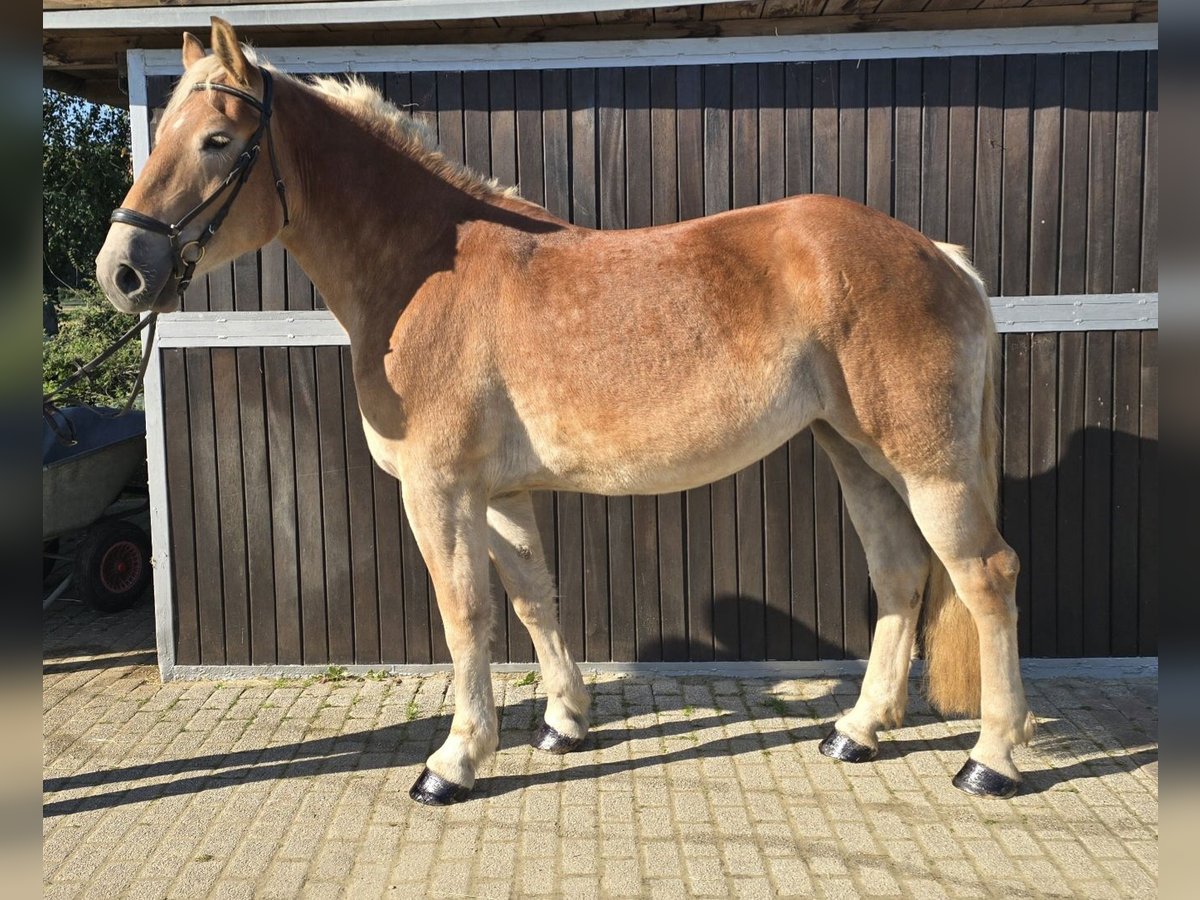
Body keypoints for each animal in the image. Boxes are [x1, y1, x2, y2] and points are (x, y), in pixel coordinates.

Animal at [97, 18, 1035, 805]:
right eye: (163, 135)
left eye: (217, 140)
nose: (123, 270)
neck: (423, 271)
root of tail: (938, 255)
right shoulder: (502, 494)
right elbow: (533, 600)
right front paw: (563, 723)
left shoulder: (439, 491)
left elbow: (465, 616)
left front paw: (454, 762)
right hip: (854, 453)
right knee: (900, 574)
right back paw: (857, 731)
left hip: (926, 464)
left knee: (984, 575)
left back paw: (989, 760)